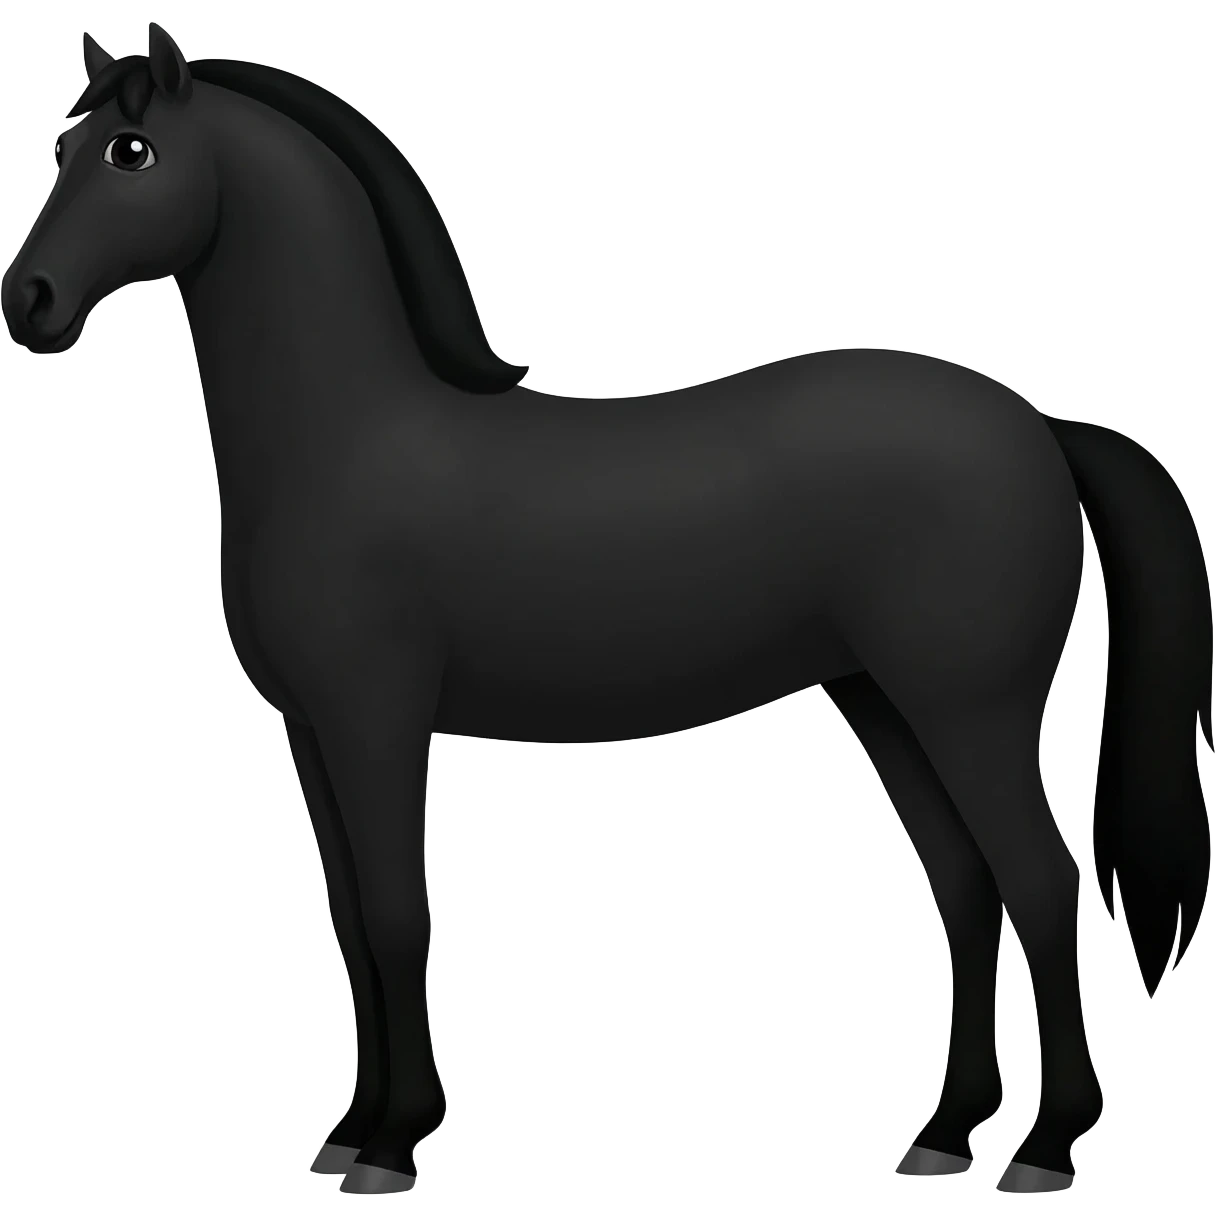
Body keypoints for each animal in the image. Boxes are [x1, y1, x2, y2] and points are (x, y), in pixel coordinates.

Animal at [3, 23, 1212, 1198]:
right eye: (62, 149)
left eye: (128, 153)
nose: (31, 302)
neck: (348, 439)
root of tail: (1041, 427)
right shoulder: (312, 732)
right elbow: (350, 924)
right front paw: (350, 1130)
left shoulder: (373, 722)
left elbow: (396, 917)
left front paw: (394, 1144)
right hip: (882, 700)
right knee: (965, 888)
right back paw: (944, 1133)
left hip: (971, 710)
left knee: (1038, 884)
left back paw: (1044, 1146)